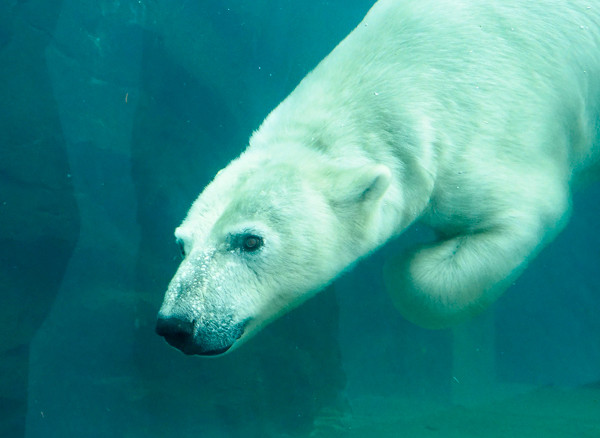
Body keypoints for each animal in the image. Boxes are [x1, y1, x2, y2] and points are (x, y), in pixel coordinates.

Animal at [156, 0, 600, 356]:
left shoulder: (495, 132)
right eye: (181, 244)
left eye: (250, 241)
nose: (175, 325)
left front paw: (412, 258)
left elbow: (522, 215)